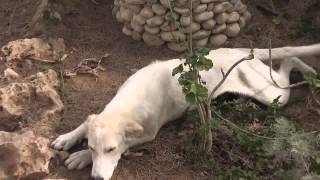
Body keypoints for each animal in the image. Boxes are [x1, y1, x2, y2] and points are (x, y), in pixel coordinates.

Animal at [51, 44, 318, 180]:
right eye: (93, 147)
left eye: (111, 150)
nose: (96, 179)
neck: (127, 105)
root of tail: (240, 50)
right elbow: (86, 123)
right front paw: (70, 139)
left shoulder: (148, 134)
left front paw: (80, 157)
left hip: (272, 95)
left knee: (289, 64)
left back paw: (309, 72)